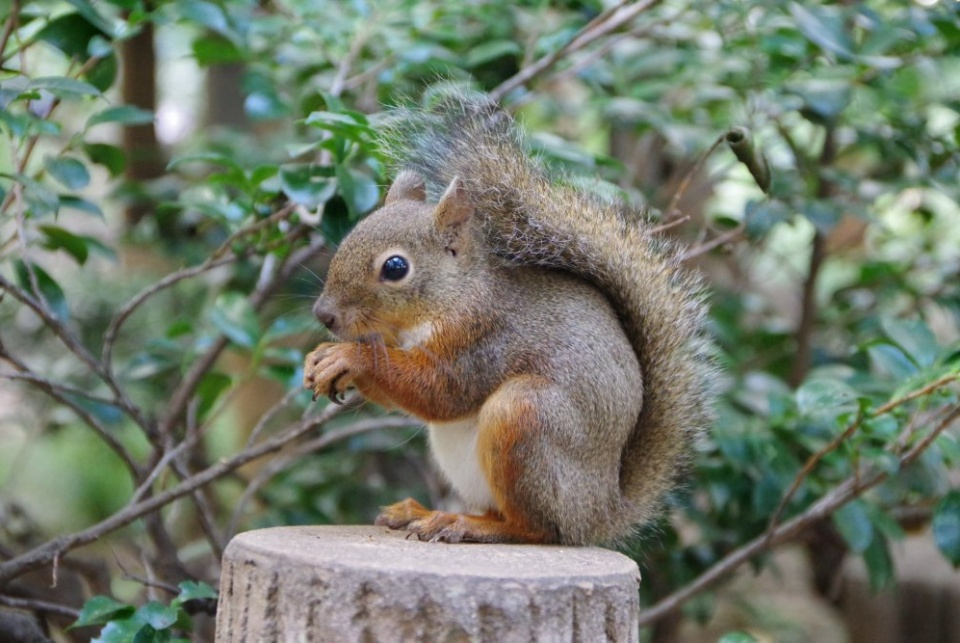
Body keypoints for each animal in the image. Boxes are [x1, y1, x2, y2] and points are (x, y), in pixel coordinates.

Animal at [304, 93, 716, 544]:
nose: (324, 315)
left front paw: (350, 358)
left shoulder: (484, 338)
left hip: (525, 418)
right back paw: (420, 512)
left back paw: (466, 524)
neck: (451, 297)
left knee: (536, 529)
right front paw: (321, 358)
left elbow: (438, 391)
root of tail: (599, 514)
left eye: (395, 268)